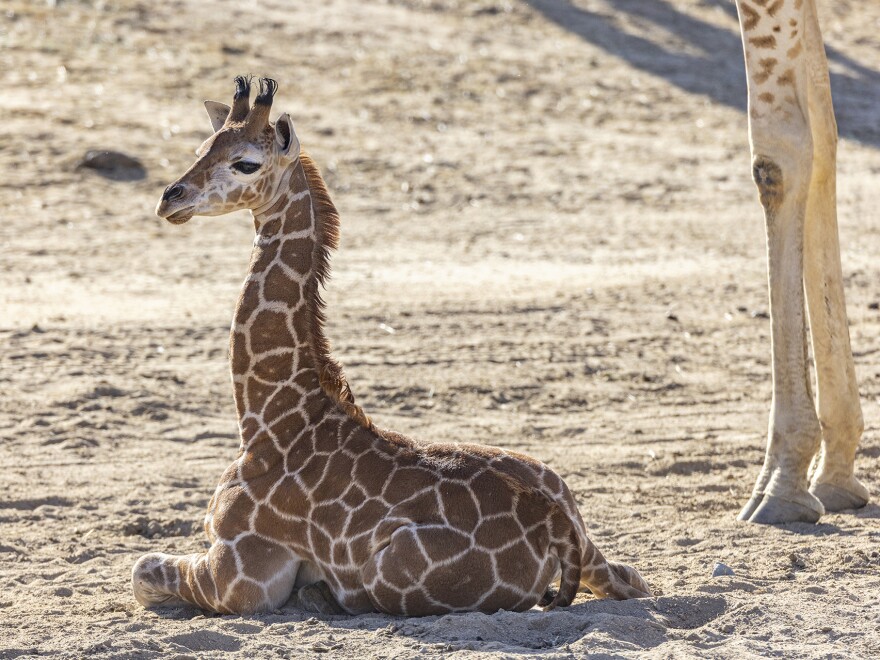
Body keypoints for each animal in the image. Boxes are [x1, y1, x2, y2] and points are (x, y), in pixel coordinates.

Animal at [132, 78, 652, 620]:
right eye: (202, 149)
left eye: (246, 164)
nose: (170, 199)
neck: (268, 422)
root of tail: (556, 526)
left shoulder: (241, 576)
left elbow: (141, 570)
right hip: (562, 497)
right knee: (630, 577)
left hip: (388, 574)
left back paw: (320, 594)